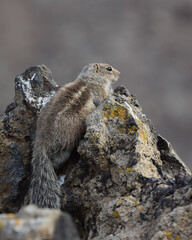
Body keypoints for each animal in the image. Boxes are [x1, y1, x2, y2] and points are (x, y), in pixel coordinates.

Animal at [28, 63, 120, 208]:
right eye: (109, 69)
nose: (119, 74)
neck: (90, 78)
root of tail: (41, 143)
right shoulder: (99, 91)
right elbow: (103, 98)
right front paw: (113, 92)